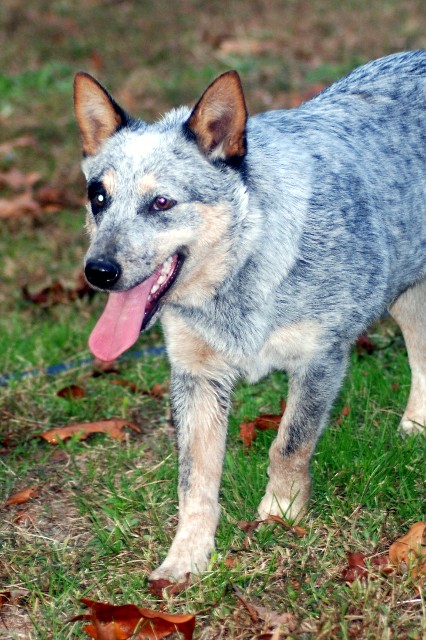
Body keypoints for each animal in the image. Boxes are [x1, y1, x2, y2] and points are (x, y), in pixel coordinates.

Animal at [75, 52, 426, 584]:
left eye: (161, 202)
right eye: (99, 197)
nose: (98, 271)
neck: (241, 277)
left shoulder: (320, 359)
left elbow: (288, 445)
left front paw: (280, 516)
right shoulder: (196, 376)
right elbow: (194, 482)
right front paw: (187, 558)